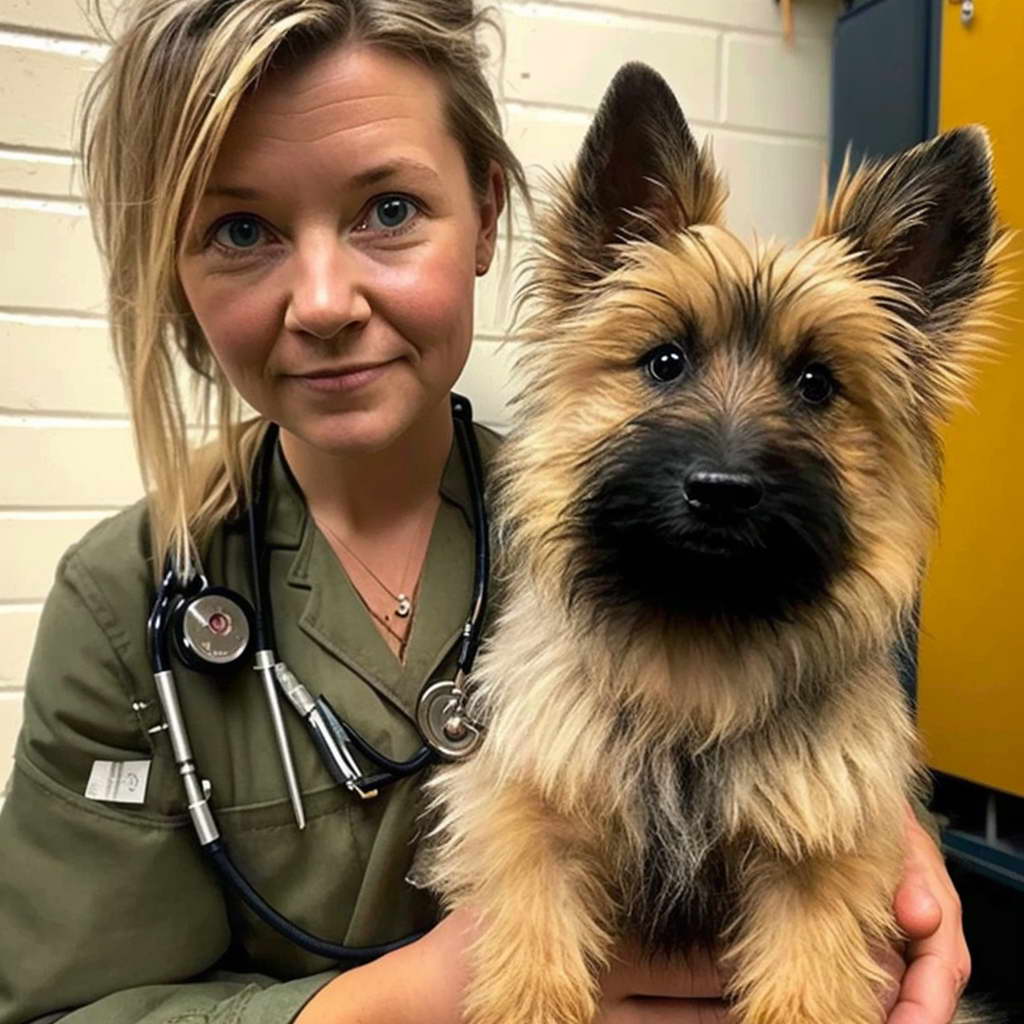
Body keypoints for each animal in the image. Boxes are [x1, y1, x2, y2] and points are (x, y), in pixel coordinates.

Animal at [421, 66, 1007, 1024]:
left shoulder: (816, 876)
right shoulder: (536, 829)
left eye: (817, 384)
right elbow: (532, 960)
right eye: (666, 361)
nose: (723, 491)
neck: (696, 648)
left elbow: (808, 991)